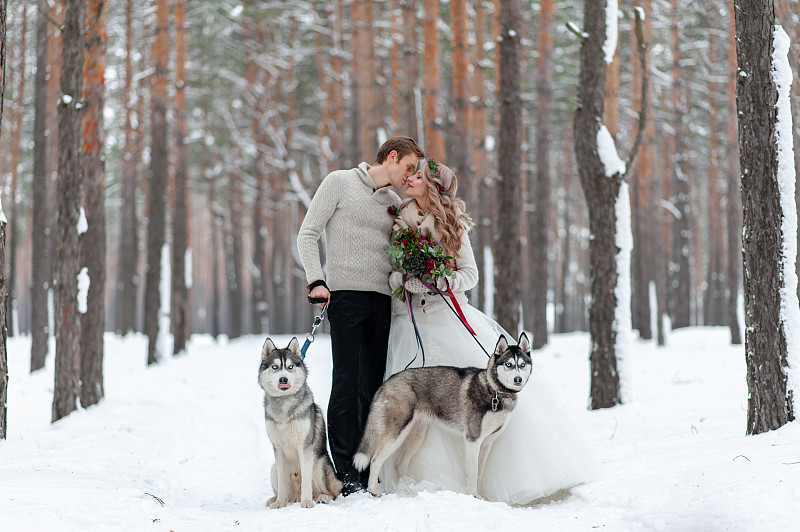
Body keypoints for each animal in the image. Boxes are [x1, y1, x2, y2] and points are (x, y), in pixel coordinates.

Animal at [260, 338, 340, 510]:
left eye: (290, 367)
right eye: (275, 367)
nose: (283, 379)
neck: (284, 405)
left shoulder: (305, 447)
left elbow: (306, 480)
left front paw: (307, 502)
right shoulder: (278, 449)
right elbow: (283, 482)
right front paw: (279, 503)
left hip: (320, 465)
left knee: (333, 493)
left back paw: (322, 497)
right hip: (274, 468)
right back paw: (276, 499)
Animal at [354, 332, 532, 498]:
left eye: (522, 365)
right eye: (508, 364)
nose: (518, 379)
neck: (493, 391)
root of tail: (385, 383)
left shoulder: (487, 443)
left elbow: (479, 473)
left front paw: (480, 497)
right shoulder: (473, 440)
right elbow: (473, 473)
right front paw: (472, 496)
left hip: (415, 436)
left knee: (400, 463)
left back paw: (409, 488)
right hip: (396, 434)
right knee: (375, 460)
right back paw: (374, 490)